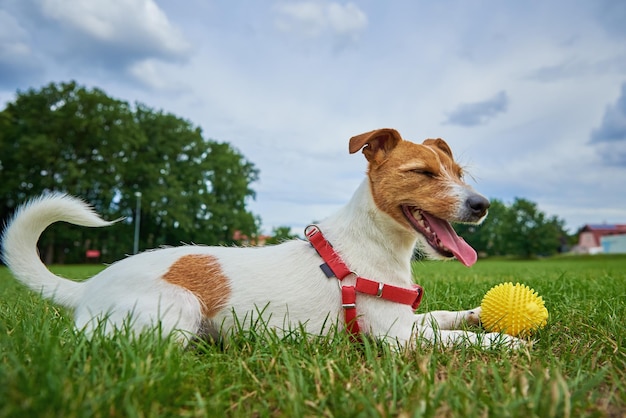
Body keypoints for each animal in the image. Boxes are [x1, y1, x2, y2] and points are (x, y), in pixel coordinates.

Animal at [1, 128, 520, 350]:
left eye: (458, 172)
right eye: (423, 173)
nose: (482, 205)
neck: (370, 247)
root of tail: (88, 286)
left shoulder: (408, 321)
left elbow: (441, 319)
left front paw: (476, 315)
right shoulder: (397, 338)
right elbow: (458, 340)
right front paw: (508, 344)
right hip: (177, 312)